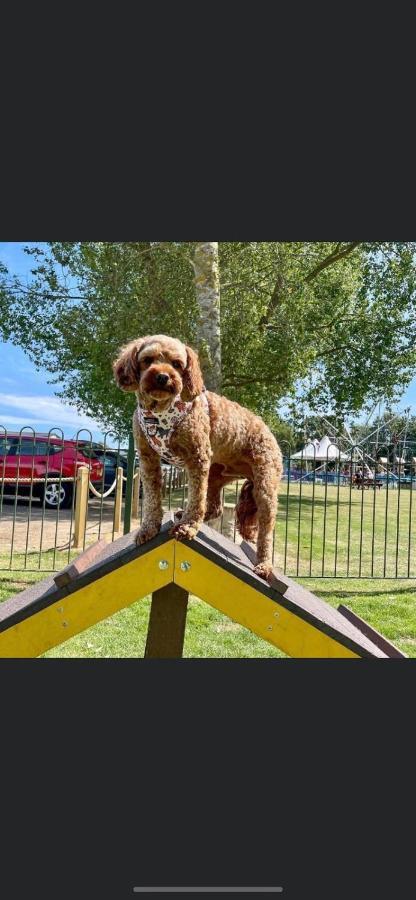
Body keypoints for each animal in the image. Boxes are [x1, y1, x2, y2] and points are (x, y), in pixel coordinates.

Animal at [114, 334, 282, 580]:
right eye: (147, 360)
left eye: (177, 364)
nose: (163, 376)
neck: (160, 412)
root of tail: (271, 434)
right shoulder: (148, 459)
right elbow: (153, 499)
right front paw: (149, 528)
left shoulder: (197, 457)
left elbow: (195, 498)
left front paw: (187, 527)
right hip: (215, 474)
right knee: (214, 507)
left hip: (264, 485)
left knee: (266, 530)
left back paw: (264, 565)